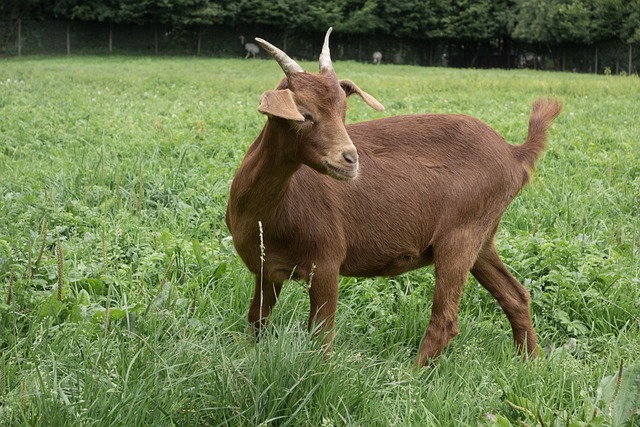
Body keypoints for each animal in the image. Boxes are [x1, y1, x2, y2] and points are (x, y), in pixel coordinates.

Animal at [224, 27, 560, 368]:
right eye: (304, 115)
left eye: (343, 112)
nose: (350, 159)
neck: (271, 210)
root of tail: (514, 154)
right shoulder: (267, 270)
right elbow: (257, 319)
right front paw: (250, 359)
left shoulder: (326, 260)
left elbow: (321, 335)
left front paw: (316, 374)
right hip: (483, 237)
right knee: (516, 295)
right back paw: (530, 363)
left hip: (461, 233)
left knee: (445, 319)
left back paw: (411, 375)